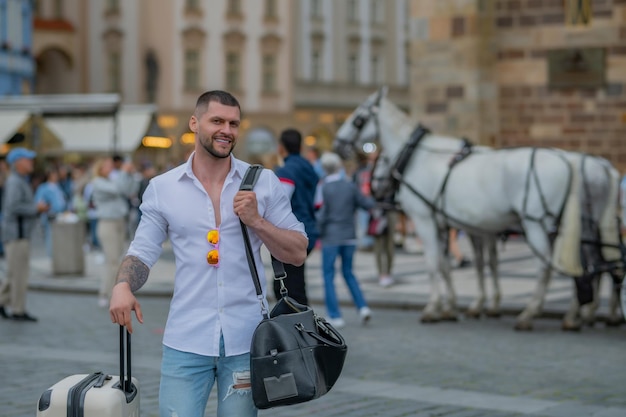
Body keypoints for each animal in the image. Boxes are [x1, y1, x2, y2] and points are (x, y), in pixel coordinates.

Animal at [334, 87, 584, 328]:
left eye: (358, 118)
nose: (338, 144)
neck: (418, 158)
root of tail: (568, 160)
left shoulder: (425, 220)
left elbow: (433, 263)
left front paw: (433, 307)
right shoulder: (446, 225)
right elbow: (449, 265)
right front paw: (452, 307)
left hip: (536, 226)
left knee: (546, 268)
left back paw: (531, 313)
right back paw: (573, 314)